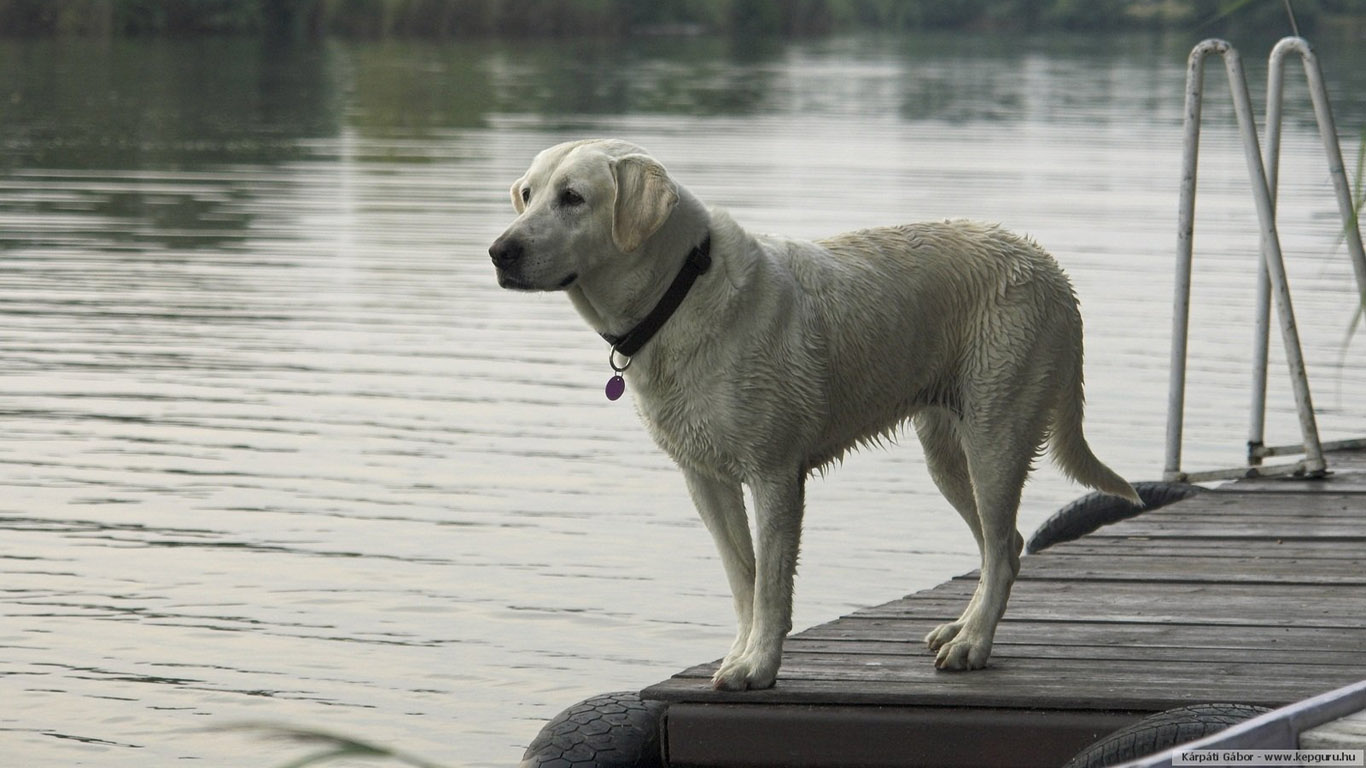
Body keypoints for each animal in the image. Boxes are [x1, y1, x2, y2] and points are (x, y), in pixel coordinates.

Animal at [486, 140, 1136, 691]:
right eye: (527, 193)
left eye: (573, 197)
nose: (499, 251)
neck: (680, 291)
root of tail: (1049, 267)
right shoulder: (705, 480)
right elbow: (743, 580)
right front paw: (740, 655)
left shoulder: (775, 475)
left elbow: (772, 586)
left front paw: (758, 668)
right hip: (949, 455)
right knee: (1005, 545)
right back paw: (961, 628)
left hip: (995, 439)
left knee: (1001, 549)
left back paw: (972, 645)